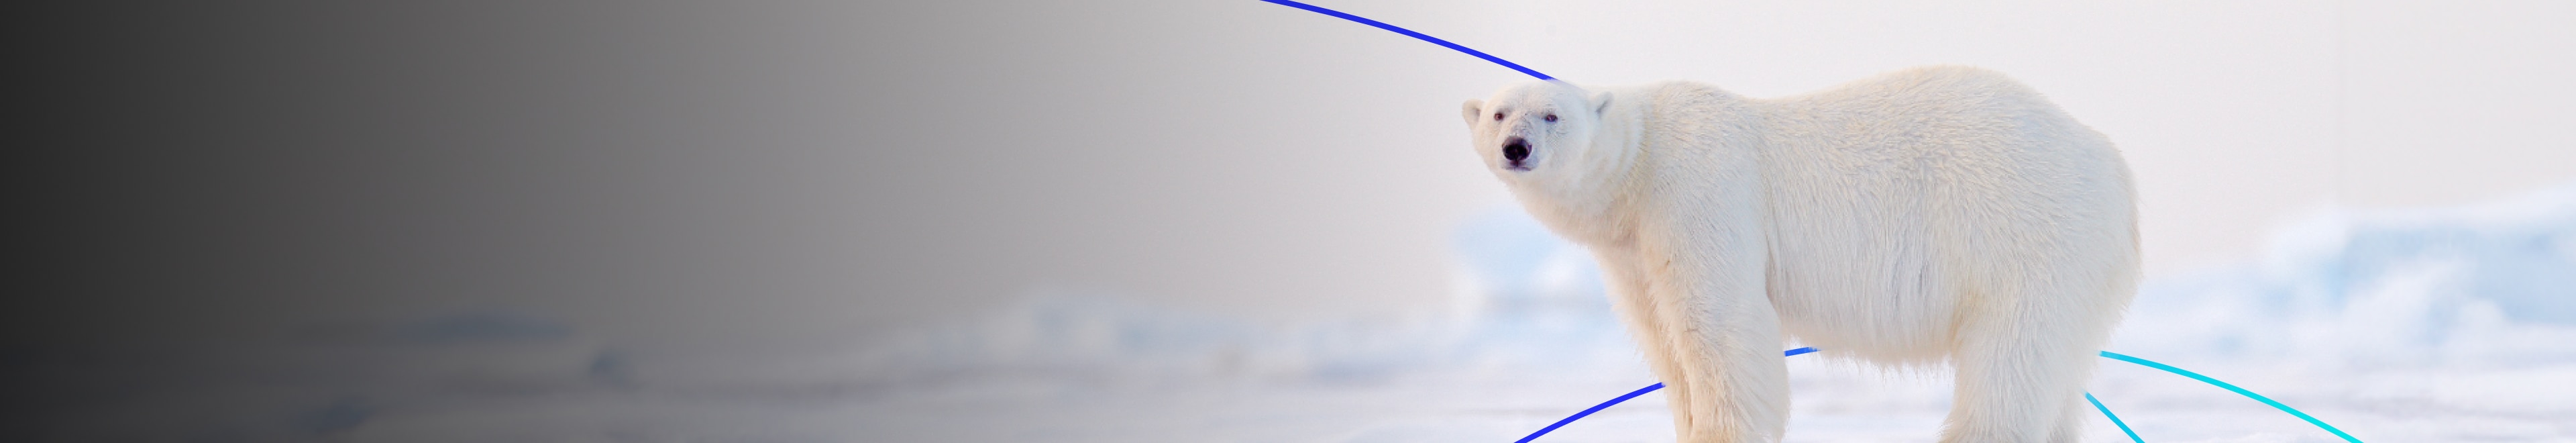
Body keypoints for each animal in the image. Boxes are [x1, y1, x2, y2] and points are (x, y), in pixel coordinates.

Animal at [1459, 66, 2139, 443]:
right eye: (1498, 112)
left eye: (1552, 114)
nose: (1517, 147)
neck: (1641, 164)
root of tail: (2108, 160)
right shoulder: (1632, 251)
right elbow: (1662, 338)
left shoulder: (1697, 192)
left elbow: (1719, 323)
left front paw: (1720, 432)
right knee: (2059, 366)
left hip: (2018, 229)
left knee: (2011, 351)